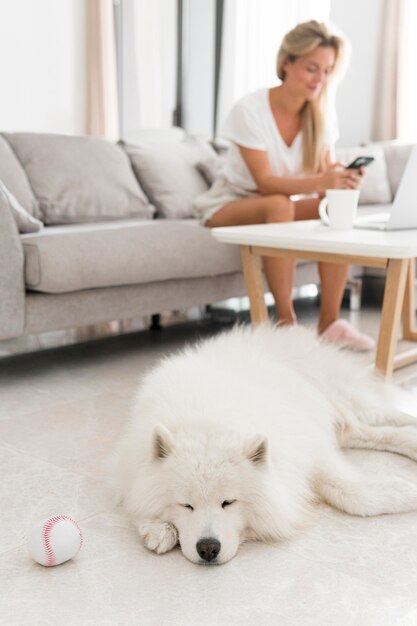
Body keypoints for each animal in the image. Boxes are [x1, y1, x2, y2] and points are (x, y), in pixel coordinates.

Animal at [111, 324, 417, 564]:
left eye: (228, 502)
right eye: (186, 505)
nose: (208, 548)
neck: (208, 420)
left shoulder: (307, 447)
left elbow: (347, 492)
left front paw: (403, 492)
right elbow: (138, 498)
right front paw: (158, 529)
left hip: (344, 397)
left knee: (386, 415)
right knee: (367, 432)